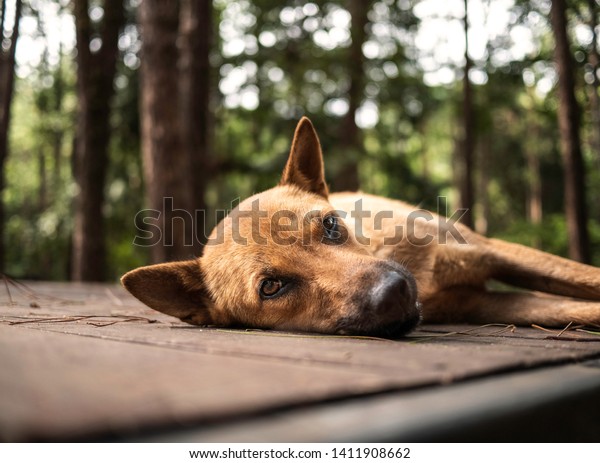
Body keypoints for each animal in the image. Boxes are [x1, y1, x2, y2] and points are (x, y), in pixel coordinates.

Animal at [122, 118, 600, 338]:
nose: (395, 292)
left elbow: (587, 278)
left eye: (331, 225)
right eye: (271, 287)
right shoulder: (481, 304)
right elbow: (579, 308)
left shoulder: (492, 251)